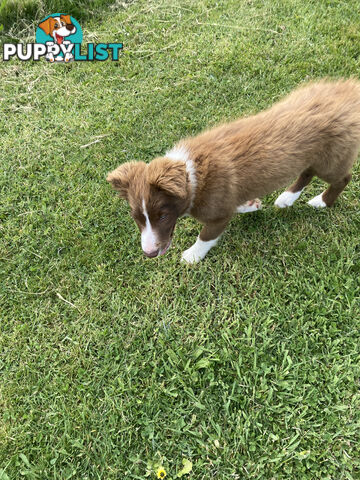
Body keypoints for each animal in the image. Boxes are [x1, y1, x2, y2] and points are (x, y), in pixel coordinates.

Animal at [107, 80, 360, 264]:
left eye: (163, 216)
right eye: (137, 218)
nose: (149, 253)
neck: (192, 174)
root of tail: (349, 91)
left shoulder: (217, 215)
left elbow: (206, 235)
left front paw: (192, 256)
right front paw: (249, 204)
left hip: (331, 159)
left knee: (342, 178)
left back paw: (322, 202)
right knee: (307, 172)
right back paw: (287, 198)